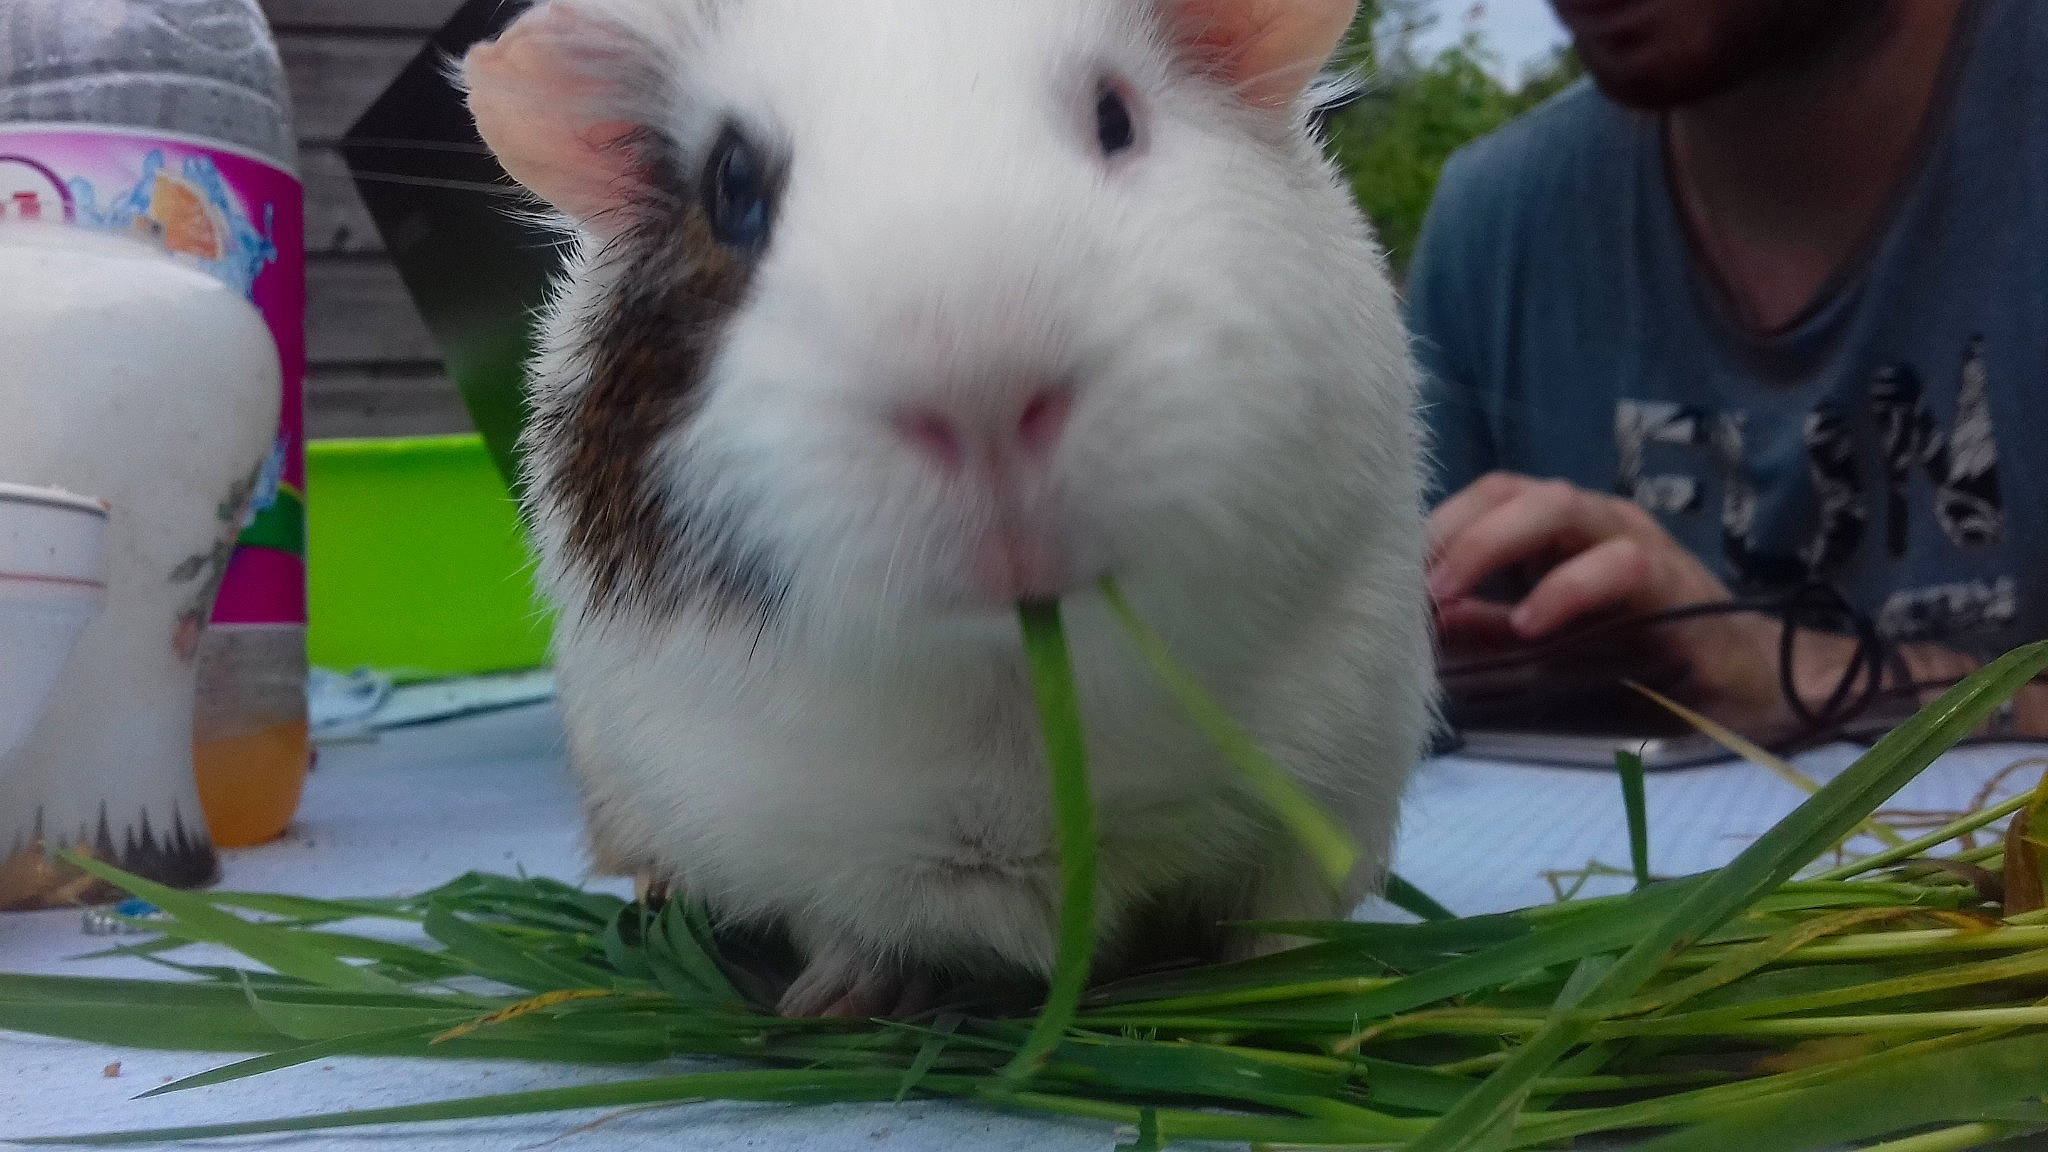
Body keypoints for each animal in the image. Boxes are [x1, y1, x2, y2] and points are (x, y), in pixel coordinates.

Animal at [462, 0, 1433, 1017]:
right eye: (732, 185)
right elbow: (841, 929)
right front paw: (826, 1005)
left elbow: (1283, 914)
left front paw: (1301, 987)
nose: (984, 399)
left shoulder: (1334, 778)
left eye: (1115, 117)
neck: (1017, 706)